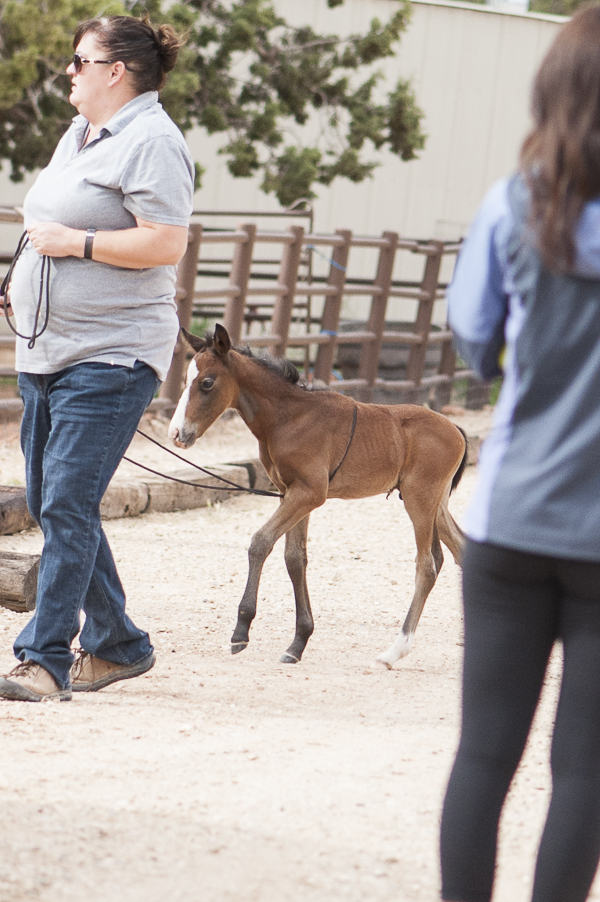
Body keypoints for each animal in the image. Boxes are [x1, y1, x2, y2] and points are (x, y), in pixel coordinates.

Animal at [169, 328, 468, 668]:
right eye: (185, 380)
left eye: (207, 382)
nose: (176, 434)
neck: (290, 417)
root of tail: (455, 429)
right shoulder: (291, 493)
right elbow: (294, 558)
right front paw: (298, 643)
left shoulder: (309, 493)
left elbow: (261, 542)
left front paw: (241, 631)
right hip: (435, 505)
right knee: (460, 552)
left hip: (421, 500)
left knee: (427, 566)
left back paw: (396, 650)